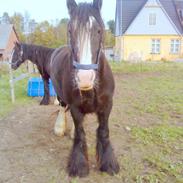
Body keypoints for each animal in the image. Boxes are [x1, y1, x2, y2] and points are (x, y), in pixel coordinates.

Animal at [50, 0, 118, 177]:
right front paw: (79, 166)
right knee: (62, 108)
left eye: (99, 30)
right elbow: (80, 135)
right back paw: (59, 128)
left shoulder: (107, 106)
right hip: (60, 96)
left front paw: (108, 163)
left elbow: (103, 131)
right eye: (70, 30)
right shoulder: (75, 107)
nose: (85, 78)